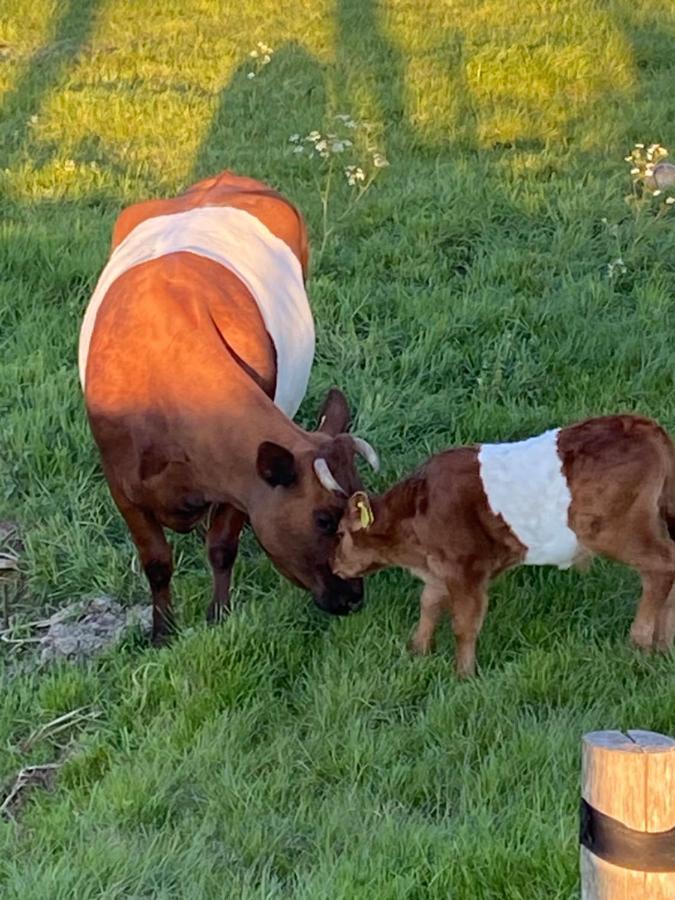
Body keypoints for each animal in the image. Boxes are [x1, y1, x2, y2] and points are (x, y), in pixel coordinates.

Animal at [80, 171, 378, 648]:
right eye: (324, 519)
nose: (353, 599)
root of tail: (227, 179)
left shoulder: (241, 481)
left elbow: (222, 547)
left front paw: (218, 617)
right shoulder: (121, 486)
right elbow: (156, 562)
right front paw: (162, 633)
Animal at [332, 414, 675, 676]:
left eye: (340, 533)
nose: (335, 566)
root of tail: (643, 425)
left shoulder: (466, 568)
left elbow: (464, 623)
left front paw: (464, 675)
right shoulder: (441, 568)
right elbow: (429, 603)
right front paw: (418, 650)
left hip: (617, 531)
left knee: (661, 567)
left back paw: (640, 642)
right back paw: (664, 645)